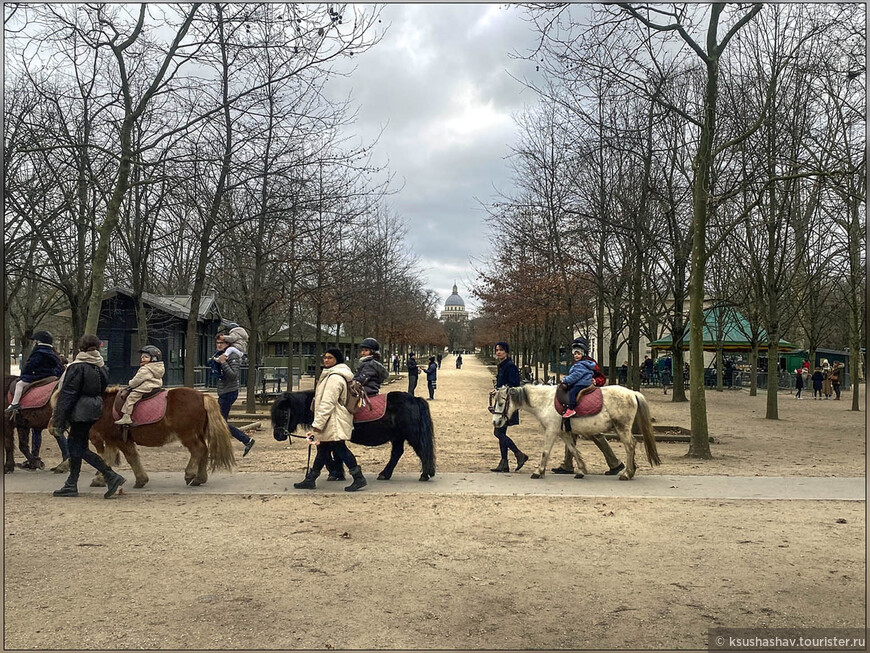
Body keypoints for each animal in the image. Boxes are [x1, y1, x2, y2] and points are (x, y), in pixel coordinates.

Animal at [87, 384, 235, 486]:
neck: (105, 407)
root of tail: (203, 396)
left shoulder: (119, 440)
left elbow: (129, 457)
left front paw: (141, 479)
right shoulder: (111, 440)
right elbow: (107, 459)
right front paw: (100, 479)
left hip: (187, 435)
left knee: (199, 449)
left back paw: (190, 474)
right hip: (198, 433)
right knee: (204, 451)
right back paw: (199, 478)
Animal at [270, 390, 440, 482]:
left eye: (284, 413)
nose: (278, 435)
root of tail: (415, 399)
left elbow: (327, 455)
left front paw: (334, 473)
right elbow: (336, 454)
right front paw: (338, 473)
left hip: (412, 435)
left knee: (422, 451)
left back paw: (425, 474)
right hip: (397, 437)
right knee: (397, 453)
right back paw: (385, 474)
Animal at [490, 382, 660, 478]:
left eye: (501, 403)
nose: (496, 422)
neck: (545, 401)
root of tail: (632, 393)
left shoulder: (551, 431)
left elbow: (545, 451)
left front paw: (539, 472)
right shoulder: (563, 433)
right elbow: (573, 449)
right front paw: (581, 470)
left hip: (622, 428)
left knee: (630, 446)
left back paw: (627, 473)